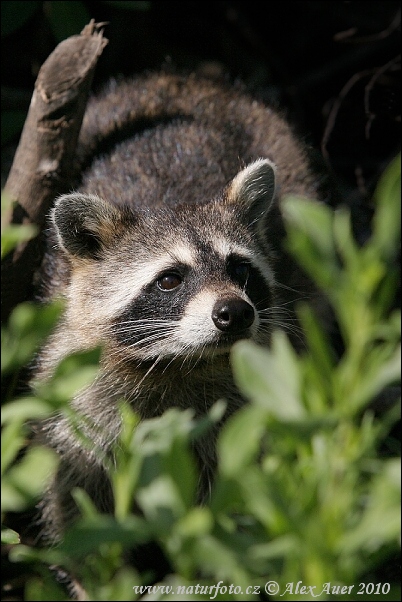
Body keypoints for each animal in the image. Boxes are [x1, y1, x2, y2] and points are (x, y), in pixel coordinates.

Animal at [35, 69, 326, 540]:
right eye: (170, 280)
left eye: (240, 269)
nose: (235, 313)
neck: (180, 366)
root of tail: (182, 77)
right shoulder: (75, 397)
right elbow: (73, 500)